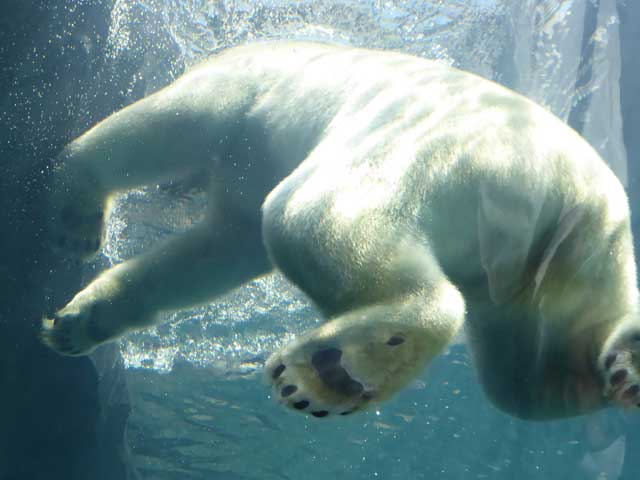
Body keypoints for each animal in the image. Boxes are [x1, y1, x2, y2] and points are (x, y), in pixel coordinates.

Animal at [43, 44, 640, 420]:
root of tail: (573, 187)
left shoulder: (242, 92)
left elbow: (158, 129)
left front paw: (77, 216)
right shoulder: (240, 190)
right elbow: (209, 255)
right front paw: (77, 322)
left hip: (433, 151)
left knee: (312, 214)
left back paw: (335, 372)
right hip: (562, 264)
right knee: (527, 378)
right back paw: (621, 365)